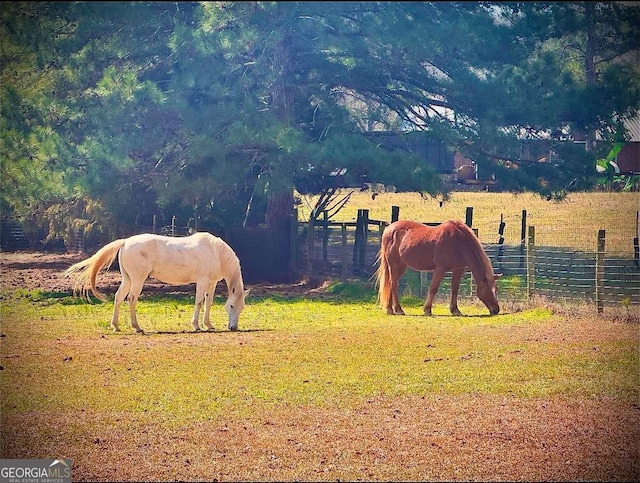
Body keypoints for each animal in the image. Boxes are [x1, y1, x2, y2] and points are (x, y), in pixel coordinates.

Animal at [62, 233, 248, 332]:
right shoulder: (202, 282)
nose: (233, 327)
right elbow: (199, 303)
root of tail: (126, 242)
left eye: (241, 307)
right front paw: (196, 325)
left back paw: (116, 326)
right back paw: (137, 327)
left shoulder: (211, 283)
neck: (215, 251)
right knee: (131, 299)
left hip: (128, 280)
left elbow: (208, 303)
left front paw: (208, 325)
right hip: (137, 280)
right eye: (232, 306)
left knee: (118, 298)